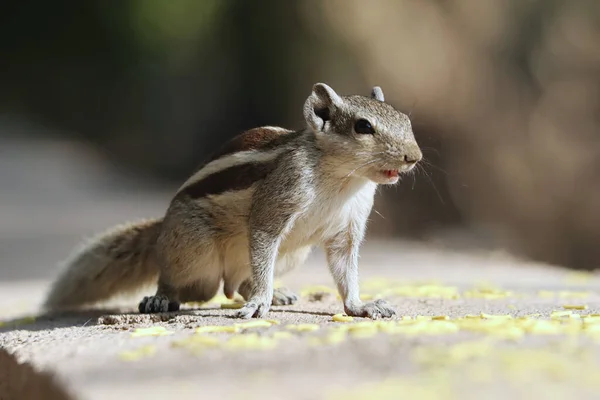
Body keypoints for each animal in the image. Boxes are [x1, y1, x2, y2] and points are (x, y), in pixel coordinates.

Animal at [42, 82, 422, 318]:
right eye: (363, 127)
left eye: (406, 120)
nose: (414, 157)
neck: (344, 180)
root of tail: (163, 227)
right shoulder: (278, 201)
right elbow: (264, 237)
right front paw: (259, 303)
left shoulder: (348, 227)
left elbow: (346, 271)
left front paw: (360, 306)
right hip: (194, 248)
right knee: (188, 282)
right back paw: (161, 297)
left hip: (293, 253)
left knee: (235, 283)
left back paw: (276, 292)